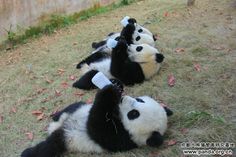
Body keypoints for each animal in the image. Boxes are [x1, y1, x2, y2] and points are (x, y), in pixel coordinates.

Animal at [21, 84, 172, 156]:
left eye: (134, 114)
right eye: (140, 100)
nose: (124, 98)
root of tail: (57, 127)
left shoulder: (123, 139)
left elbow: (97, 127)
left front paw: (108, 92)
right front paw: (116, 86)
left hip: (67, 138)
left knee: (49, 146)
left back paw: (28, 153)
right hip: (76, 109)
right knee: (70, 108)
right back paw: (55, 116)